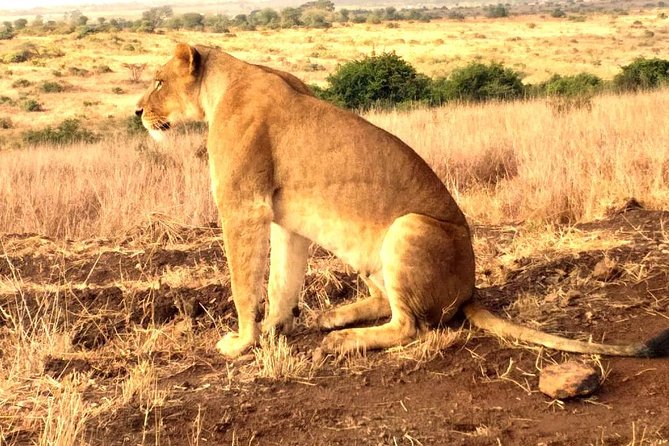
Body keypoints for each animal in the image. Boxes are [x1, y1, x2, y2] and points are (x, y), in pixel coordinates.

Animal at [135, 43, 669, 359]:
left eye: (158, 81)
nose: (138, 111)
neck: (221, 85)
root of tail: (470, 290)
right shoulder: (283, 218)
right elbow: (281, 280)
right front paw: (274, 329)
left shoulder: (242, 205)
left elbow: (245, 282)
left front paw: (241, 341)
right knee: (383, 299)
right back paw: (331, 316)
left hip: (408, 226)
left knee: (409, 325)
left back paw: (343, 339)